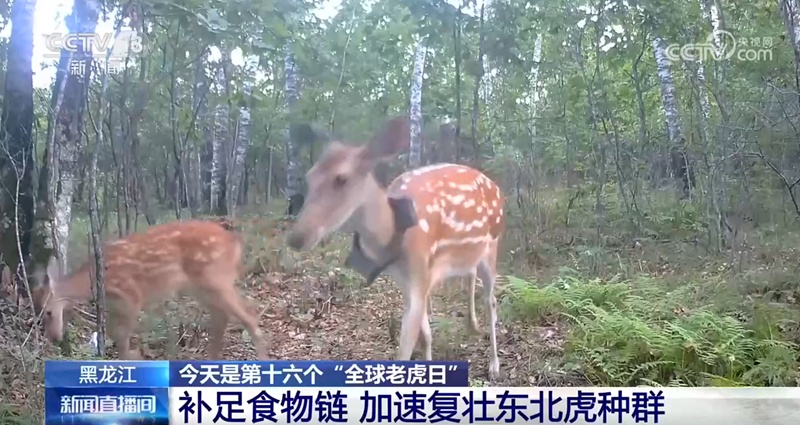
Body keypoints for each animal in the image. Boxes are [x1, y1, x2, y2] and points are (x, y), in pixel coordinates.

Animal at [31, 219, 268, 360]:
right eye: (39, 313)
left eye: (48, 312)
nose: (54, 337)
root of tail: (235, 243)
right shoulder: (116, 304)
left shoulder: (131, 296)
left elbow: (122, 338)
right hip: (201, 287)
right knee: (222, 318)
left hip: (216, 278)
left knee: (249, 316)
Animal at [286, 116, 505, 380]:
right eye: (309, 177)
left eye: (341, 178)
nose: (297, 237)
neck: (394, 233)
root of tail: (497, 188)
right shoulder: (407, 280)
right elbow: (425, 336)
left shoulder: (419, 273)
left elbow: (406, 347)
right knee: (470, 274)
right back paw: (472, 325)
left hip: (492, 245)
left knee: (492, 301)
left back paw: (494, 365)